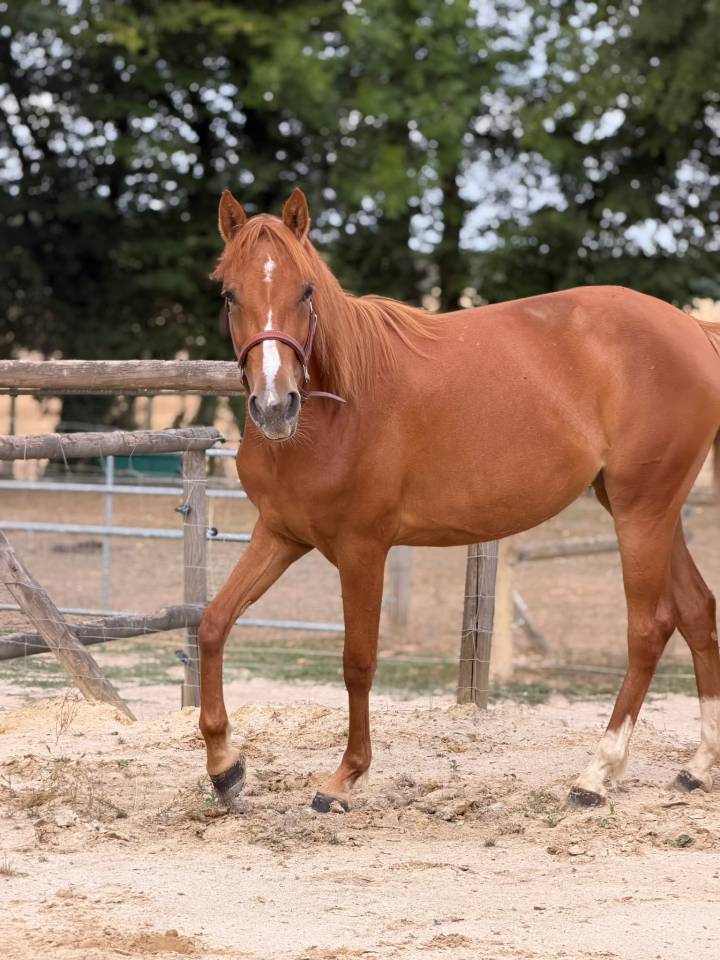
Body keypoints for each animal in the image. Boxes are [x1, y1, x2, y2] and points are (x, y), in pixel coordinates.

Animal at [199, 186, 720, 813]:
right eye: (230, 293)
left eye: (305, 290)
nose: (275, 407)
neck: (338, 409)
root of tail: (693, 328)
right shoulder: (280, 534)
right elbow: (213, 623)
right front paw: (225, 768)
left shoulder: (362, 550)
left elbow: (357, 661)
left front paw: (346, 778)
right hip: (649, 510)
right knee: (698, 612)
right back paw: (697, 767)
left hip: (642, 510)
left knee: (649, 628)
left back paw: (596, 774)